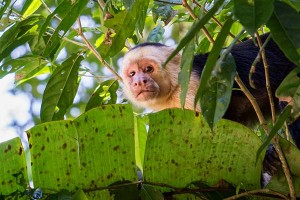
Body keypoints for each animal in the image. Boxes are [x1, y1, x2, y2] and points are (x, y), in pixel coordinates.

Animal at [121, 34, 300, 186]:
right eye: (132, 73)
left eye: (148, 69)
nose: (139, 82)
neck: (175, 88)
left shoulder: (193, 89)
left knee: (289, 101)